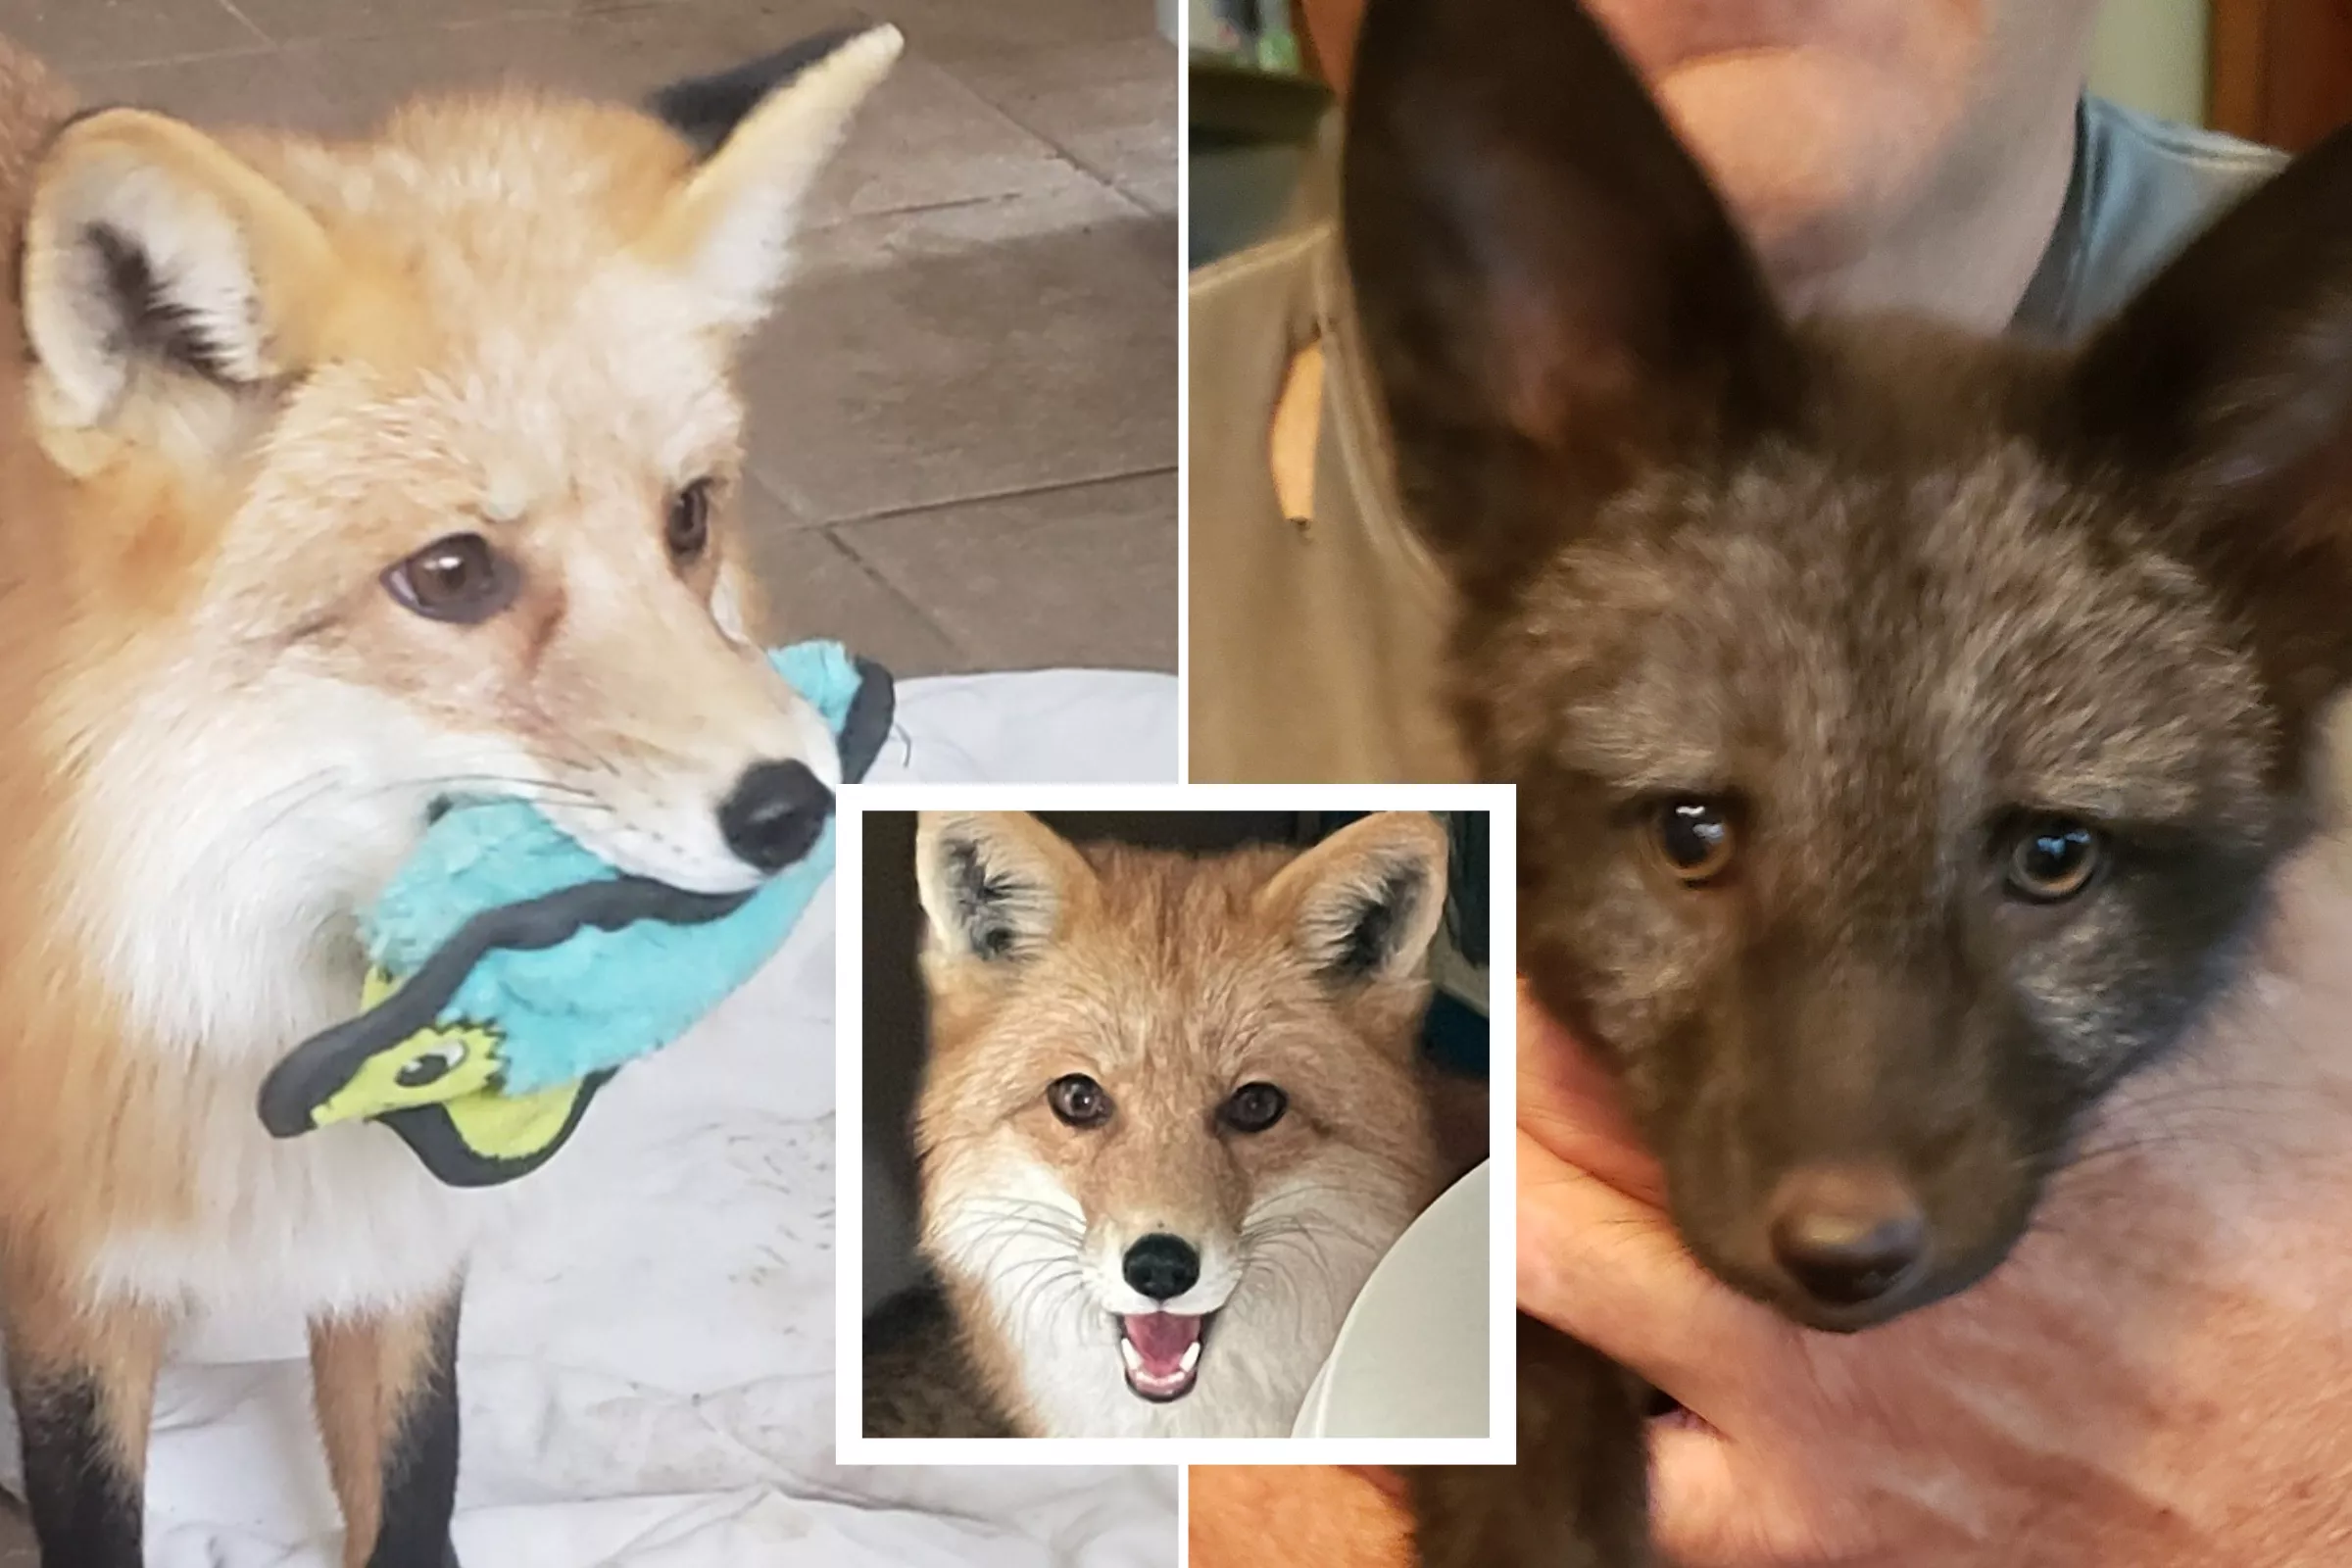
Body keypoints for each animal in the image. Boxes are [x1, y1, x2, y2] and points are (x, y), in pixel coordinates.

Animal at [0, 23, 902, 1567]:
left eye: (688, 519)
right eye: (451, 575)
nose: (800, 807)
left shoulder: (397, 1230)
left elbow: (418, 1475)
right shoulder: (72, 1270)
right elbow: (93, 1509)